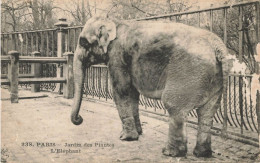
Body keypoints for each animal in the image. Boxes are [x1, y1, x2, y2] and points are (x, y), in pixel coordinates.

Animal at [69, 15, 244, 157]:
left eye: (83, 42)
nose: (79, 119)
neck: (115, 21)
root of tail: (217, 47)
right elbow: (132, 94)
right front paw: (138, 134)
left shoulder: (117, 56)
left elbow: (121, 91)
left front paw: (125, 138)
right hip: (216, 78)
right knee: (208, 112)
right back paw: (202, 154)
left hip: (188, 72)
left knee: (174, 105)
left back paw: (170, 153)